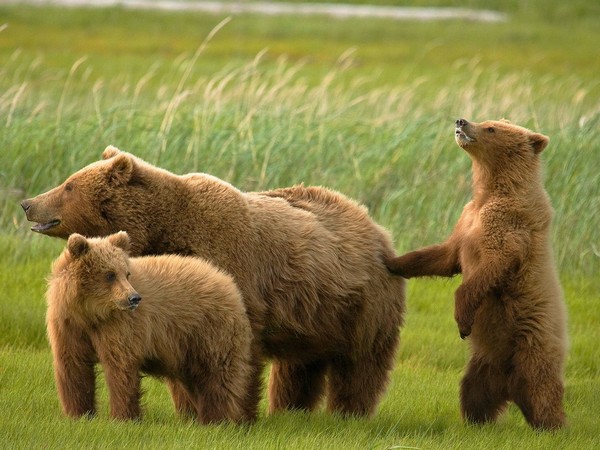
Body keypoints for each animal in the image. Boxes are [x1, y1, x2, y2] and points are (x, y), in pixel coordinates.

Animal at [46, 230, 253, 424]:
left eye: (126, 273)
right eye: (110, 274)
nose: (134, 298)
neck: (90, 313)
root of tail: (227, 281)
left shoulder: (119, 326)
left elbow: (120, 368)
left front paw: (122, 417)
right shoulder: (68, 325)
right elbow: (74, 367)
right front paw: (78, 414)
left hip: (210, 330)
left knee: (217, 376)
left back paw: (216, 419)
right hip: (184, 347)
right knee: (189, 381)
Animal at [384, 118, 568, 430]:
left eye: (492, 128)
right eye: (488, 120)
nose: (462, 121)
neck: (491, 191)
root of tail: (511, 388)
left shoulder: (507, 225)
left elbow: (491, 265)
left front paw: (462, 320)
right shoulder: (467, 219)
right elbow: (444, 256)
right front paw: (391, 261)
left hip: (532, 343)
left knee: (542, 387)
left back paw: (552, 425)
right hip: (484, 363)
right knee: (473, 390)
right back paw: (476, 421)